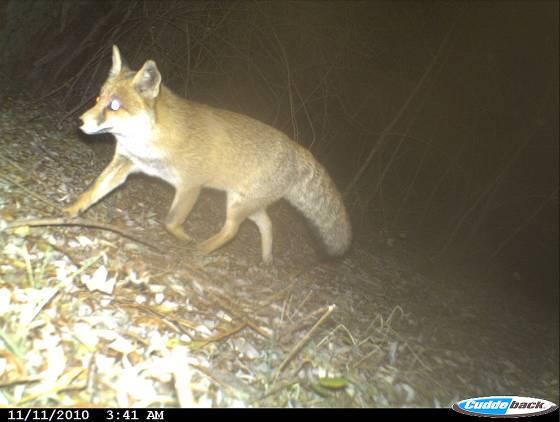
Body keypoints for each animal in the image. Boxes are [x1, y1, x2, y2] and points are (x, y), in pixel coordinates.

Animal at [64, 45, 350, 264]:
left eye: (115, 106)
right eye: (98, 99)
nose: (79, 122)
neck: (153, 141)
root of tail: (299, 148)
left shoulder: (191, 185)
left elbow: (170, 222)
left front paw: (185, 240)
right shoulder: (125, 163)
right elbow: (92, 192)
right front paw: (69, 212)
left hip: (238, 206)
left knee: (232, 231)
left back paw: (202, 250)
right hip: (241, 202)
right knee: (267, 224)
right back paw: (266, 259)